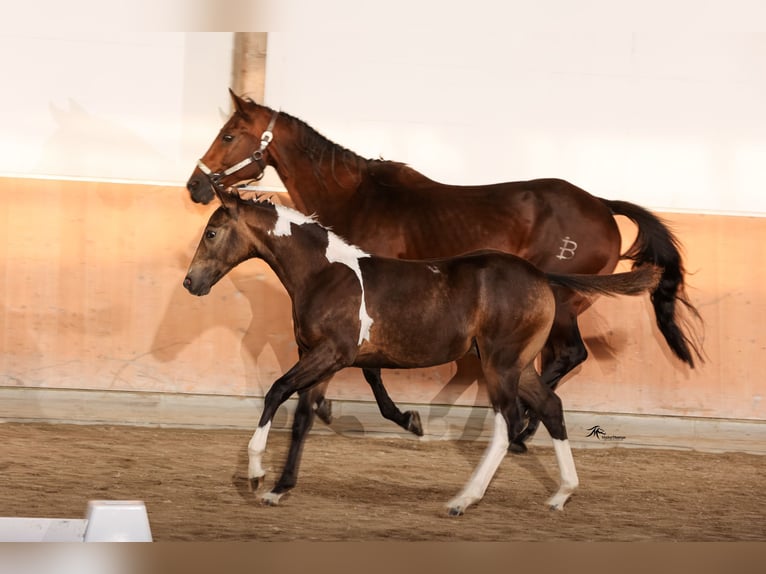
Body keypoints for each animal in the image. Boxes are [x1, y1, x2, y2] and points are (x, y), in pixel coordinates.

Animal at [184, 90, 704, 452]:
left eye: (228, 135)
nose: (194, 185)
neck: (356, 198)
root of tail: (601, 204)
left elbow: (371, 370)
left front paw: (404, 418)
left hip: (563, 303)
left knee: (565, 356)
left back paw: (519, 431)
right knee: (553, 360)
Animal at [184, 191, 660, 516]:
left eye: (211, 232)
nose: (191, 283)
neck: (324, 273)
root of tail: (542, 275)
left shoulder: (332, 353)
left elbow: (277, 391)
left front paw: (255, 474)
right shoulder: (323, 358)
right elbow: (304, 416)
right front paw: (279, 487)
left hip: (500, 364)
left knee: (509, 420)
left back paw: (463, 499)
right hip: (519, 365)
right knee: (551, 407)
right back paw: (561, 494)